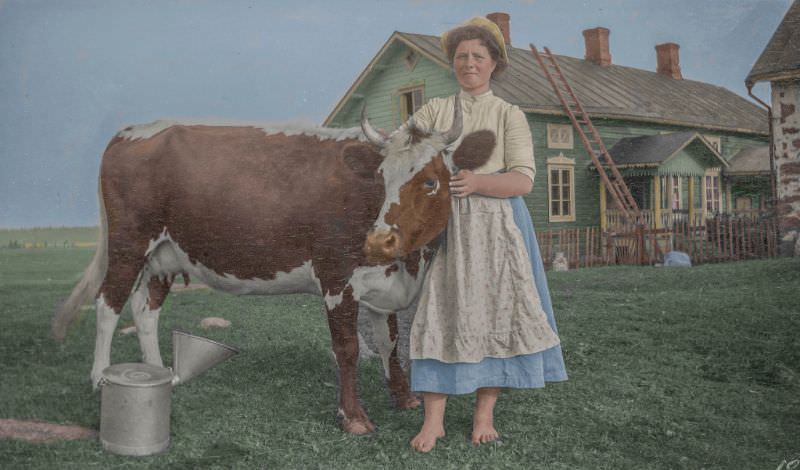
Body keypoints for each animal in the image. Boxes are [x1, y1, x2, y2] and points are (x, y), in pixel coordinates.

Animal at [51, 98, 494, 434]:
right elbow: (348, 348)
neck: (408, 266)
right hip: (129, 244)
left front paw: (403, 399)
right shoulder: (336, 277)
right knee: (108, 305)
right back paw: (100, 378)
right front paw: (353, 417)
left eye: (431, 181)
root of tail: (134, 129)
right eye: (381, 179)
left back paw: (161, 373)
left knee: (145, 310)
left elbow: (389, 342)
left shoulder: (384, 284)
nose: (378, 241)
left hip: (163, 255)